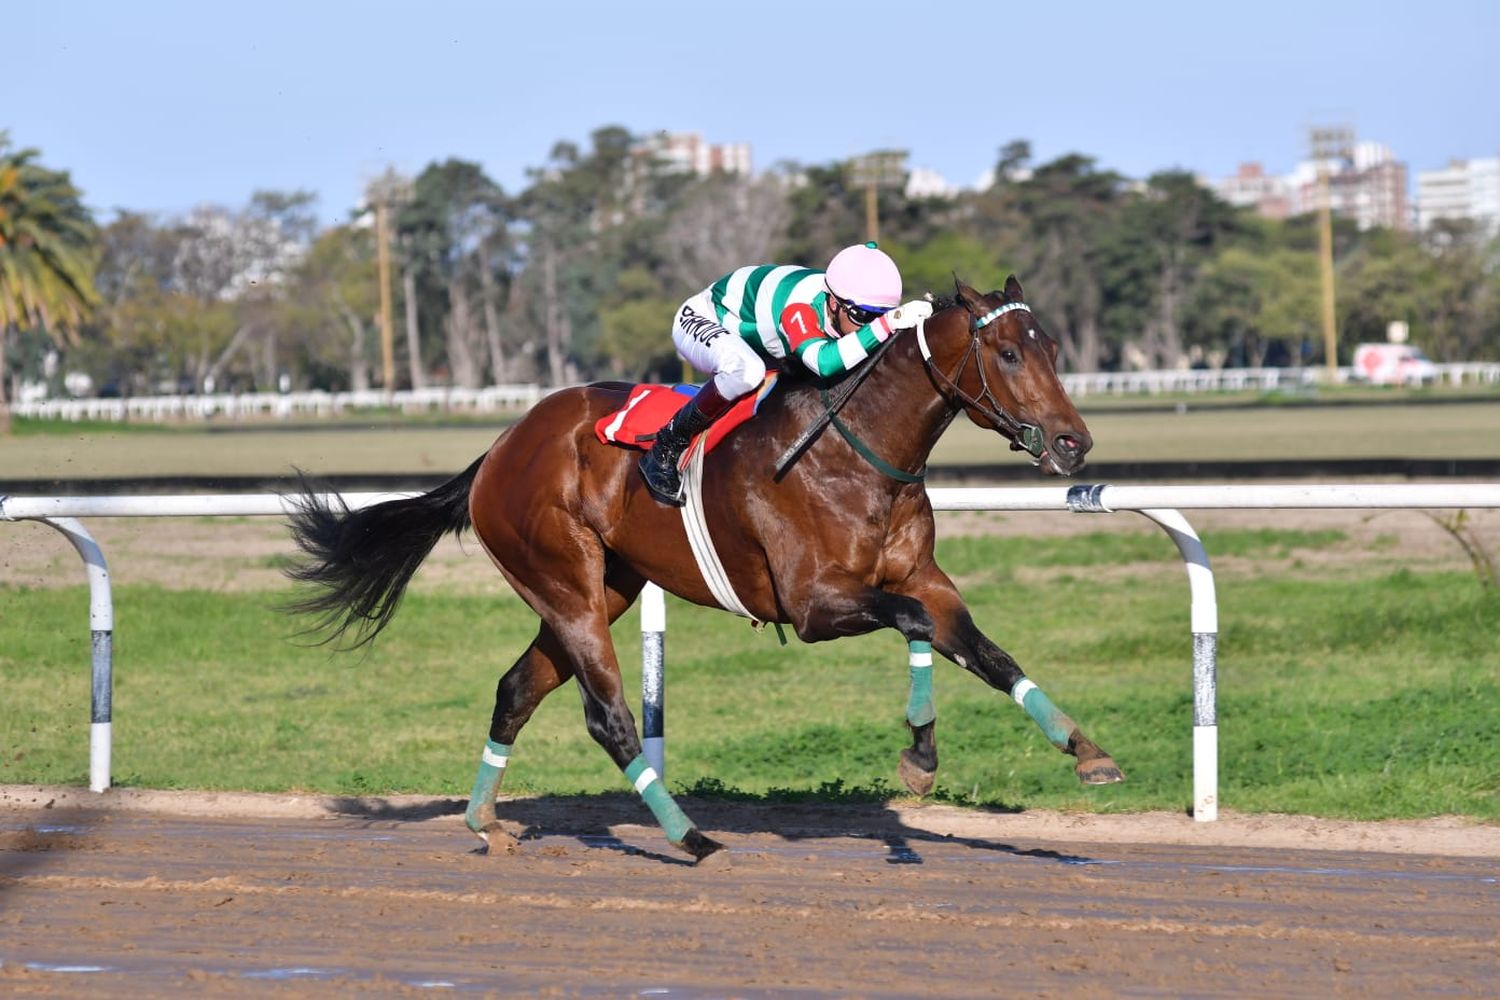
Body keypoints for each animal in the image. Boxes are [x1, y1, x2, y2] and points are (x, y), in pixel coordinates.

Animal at [283, 275, 1128, 869]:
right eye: (1010, 353)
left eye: (1055, 349)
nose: (1074, 443)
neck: (856, 449)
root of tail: (499, 449)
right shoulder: (815, 605)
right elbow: (919, 627)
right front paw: (920, 758)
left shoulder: (921, 577)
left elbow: (983, 649)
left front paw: (1085, 750)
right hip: (565, 583)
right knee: (609, 717)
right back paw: (690, 837)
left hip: (601, 588)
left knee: (517, 690)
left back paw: (485, 821)